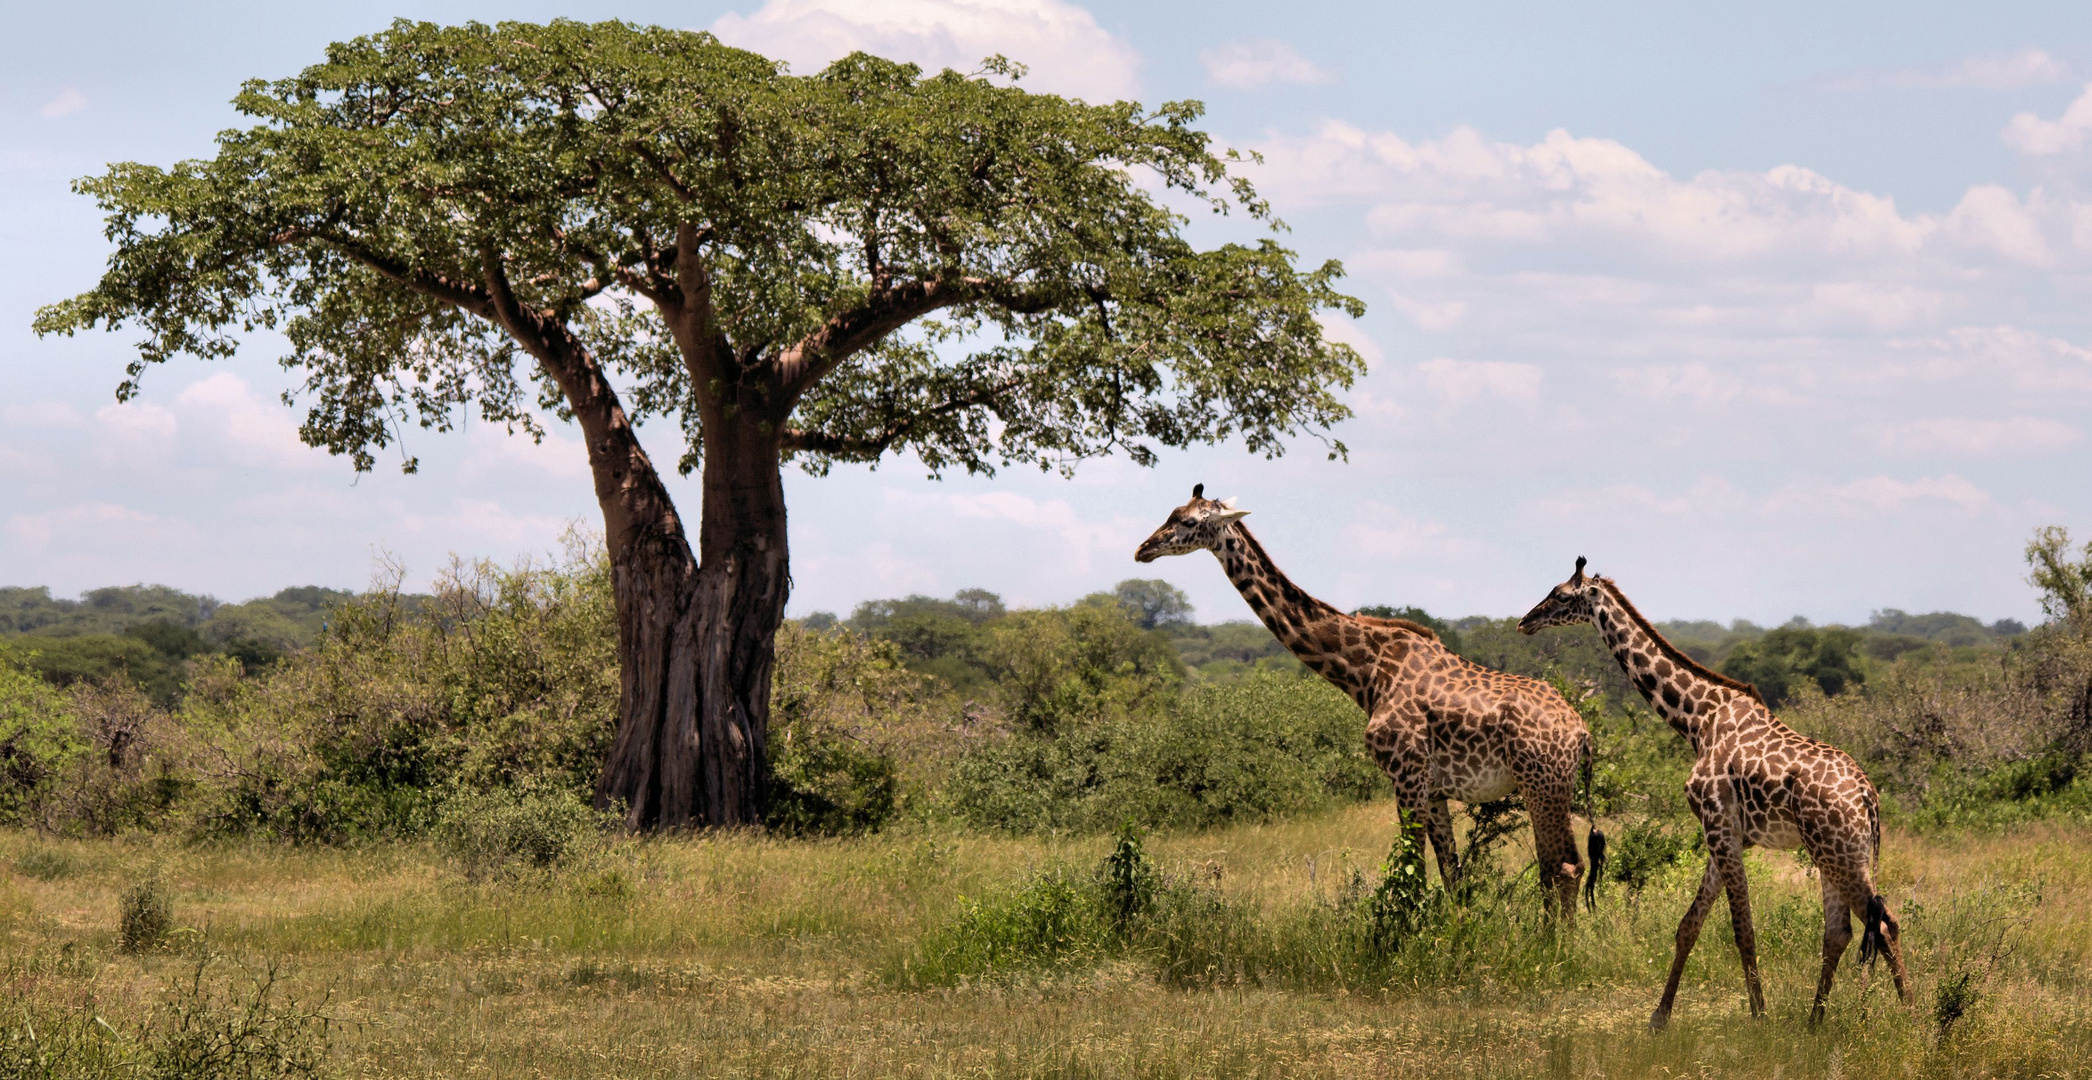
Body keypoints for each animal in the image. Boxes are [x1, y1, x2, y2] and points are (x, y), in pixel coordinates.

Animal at [1129, 483, 1598, 912]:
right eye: (1172, 512)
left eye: (1188, 521)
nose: (1142, 549)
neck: (1367, 672)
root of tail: (1582, 733)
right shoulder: (1433, 789)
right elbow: (1452, 874)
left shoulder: (1406, 775)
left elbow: (1412, 876)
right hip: (1546, 786)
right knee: (1556, 866)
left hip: (1543, 784)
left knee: (1564, 866)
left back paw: (1555, 946)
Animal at [1522, 556, 1916, 1029]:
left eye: (1561, 595)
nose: (1525, 621)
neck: (1698, 720)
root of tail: (1868, 798)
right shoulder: (1726, 835)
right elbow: (1689, 925)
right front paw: (1660, 1017)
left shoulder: (1719, 828)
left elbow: (1742, 928)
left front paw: (1759, 1015)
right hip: (1834, 853)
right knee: (1840, 931)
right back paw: (1814, 1022)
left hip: (1841, 855)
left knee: (1886, 924)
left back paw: (1915, 1020)